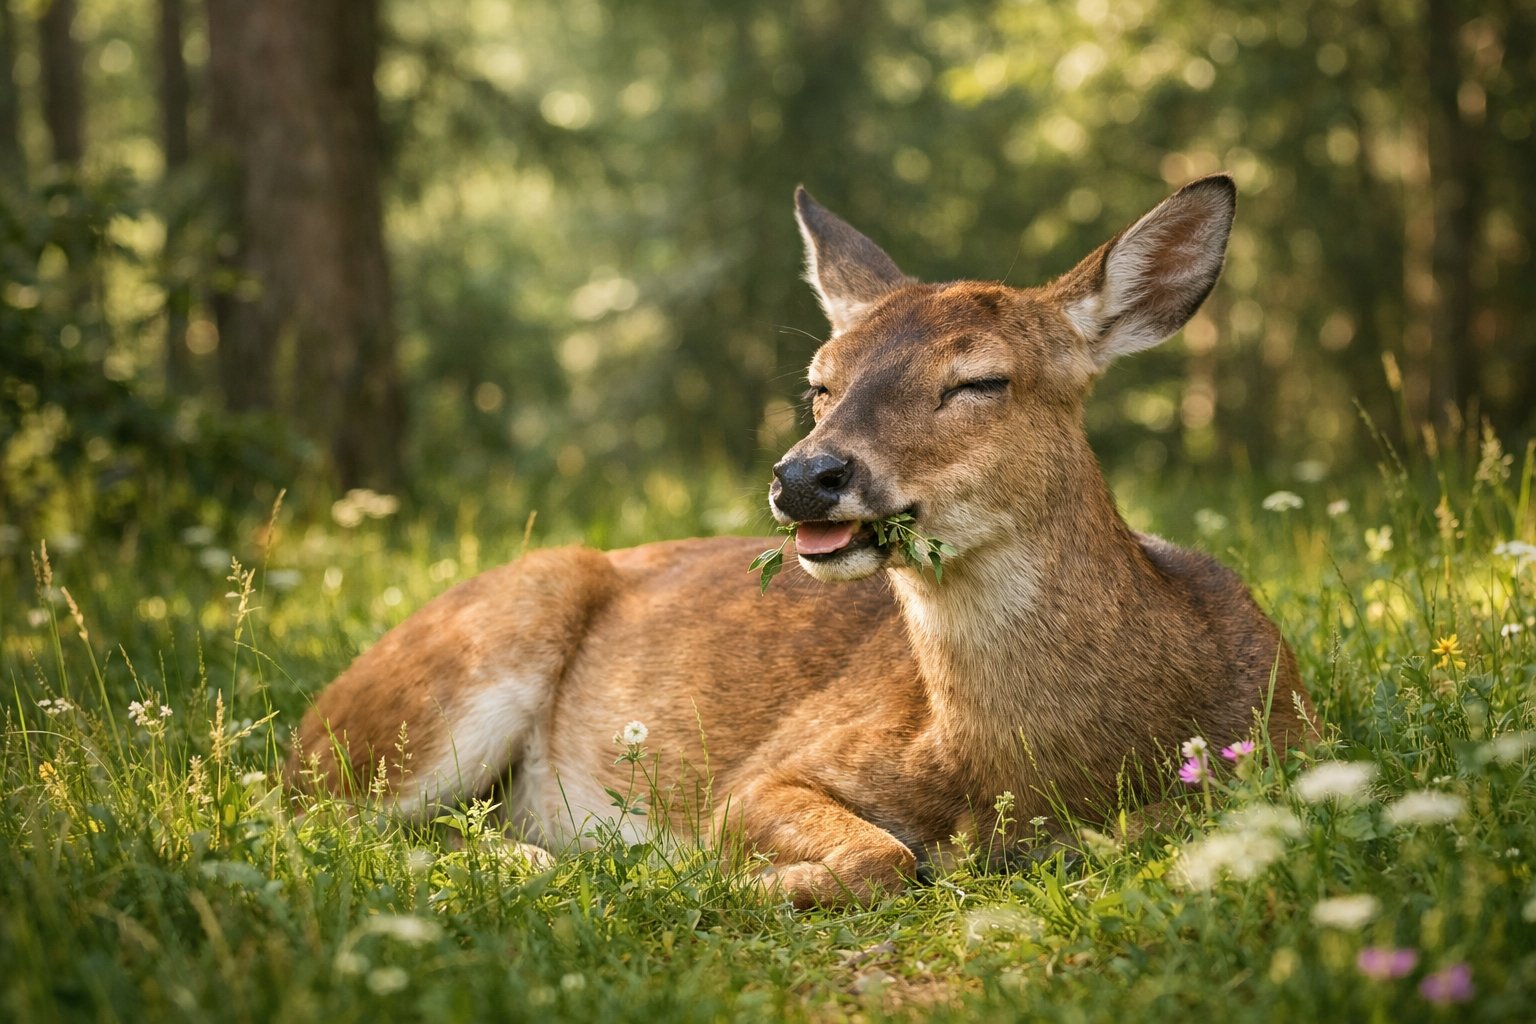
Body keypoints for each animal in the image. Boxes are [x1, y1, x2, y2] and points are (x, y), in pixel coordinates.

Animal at [290, 174, 1310, 906]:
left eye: (980, 381)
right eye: (821, 381)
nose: (804, 477)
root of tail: (315, 719)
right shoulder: (769, 771)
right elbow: (881, 859)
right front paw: (730, 877)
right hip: (454, 672)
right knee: (320, 823)